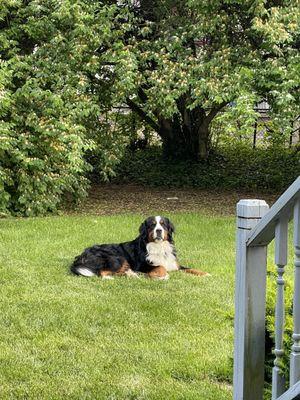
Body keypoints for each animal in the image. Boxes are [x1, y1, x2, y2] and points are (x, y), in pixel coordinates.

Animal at [70, 217, 207, 280]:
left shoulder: (174, 264)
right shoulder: (143, 266)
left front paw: (205, 273)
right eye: (152, 225)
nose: (159, 230)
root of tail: (81, 255)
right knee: (102, 272)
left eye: (163, 224)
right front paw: (163, 276)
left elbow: (191, 269)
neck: (158, 246)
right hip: (116, 257)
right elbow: (161, 267)